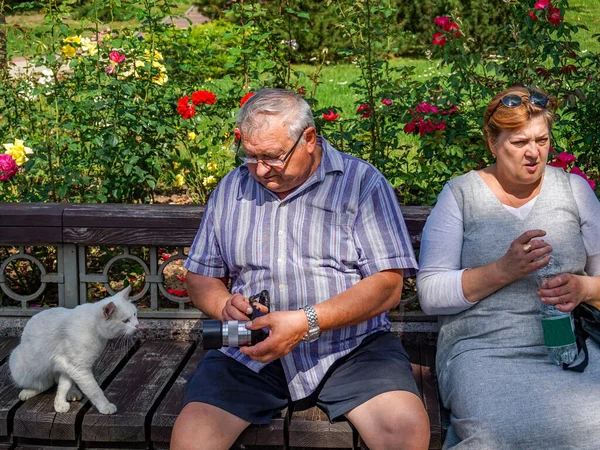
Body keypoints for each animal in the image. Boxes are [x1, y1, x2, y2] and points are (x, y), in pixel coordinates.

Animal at [8, 286, 138, 414]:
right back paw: (27, 392)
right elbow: (94, 390)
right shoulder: (78, 368)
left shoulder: (70, 365)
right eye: (125, 321)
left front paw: (60, 403)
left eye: (135, 314)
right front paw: (105, 406)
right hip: (22, 366)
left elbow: (64, 385)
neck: (94, 328)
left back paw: (72, 393)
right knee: (43, 384)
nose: (137, 325)